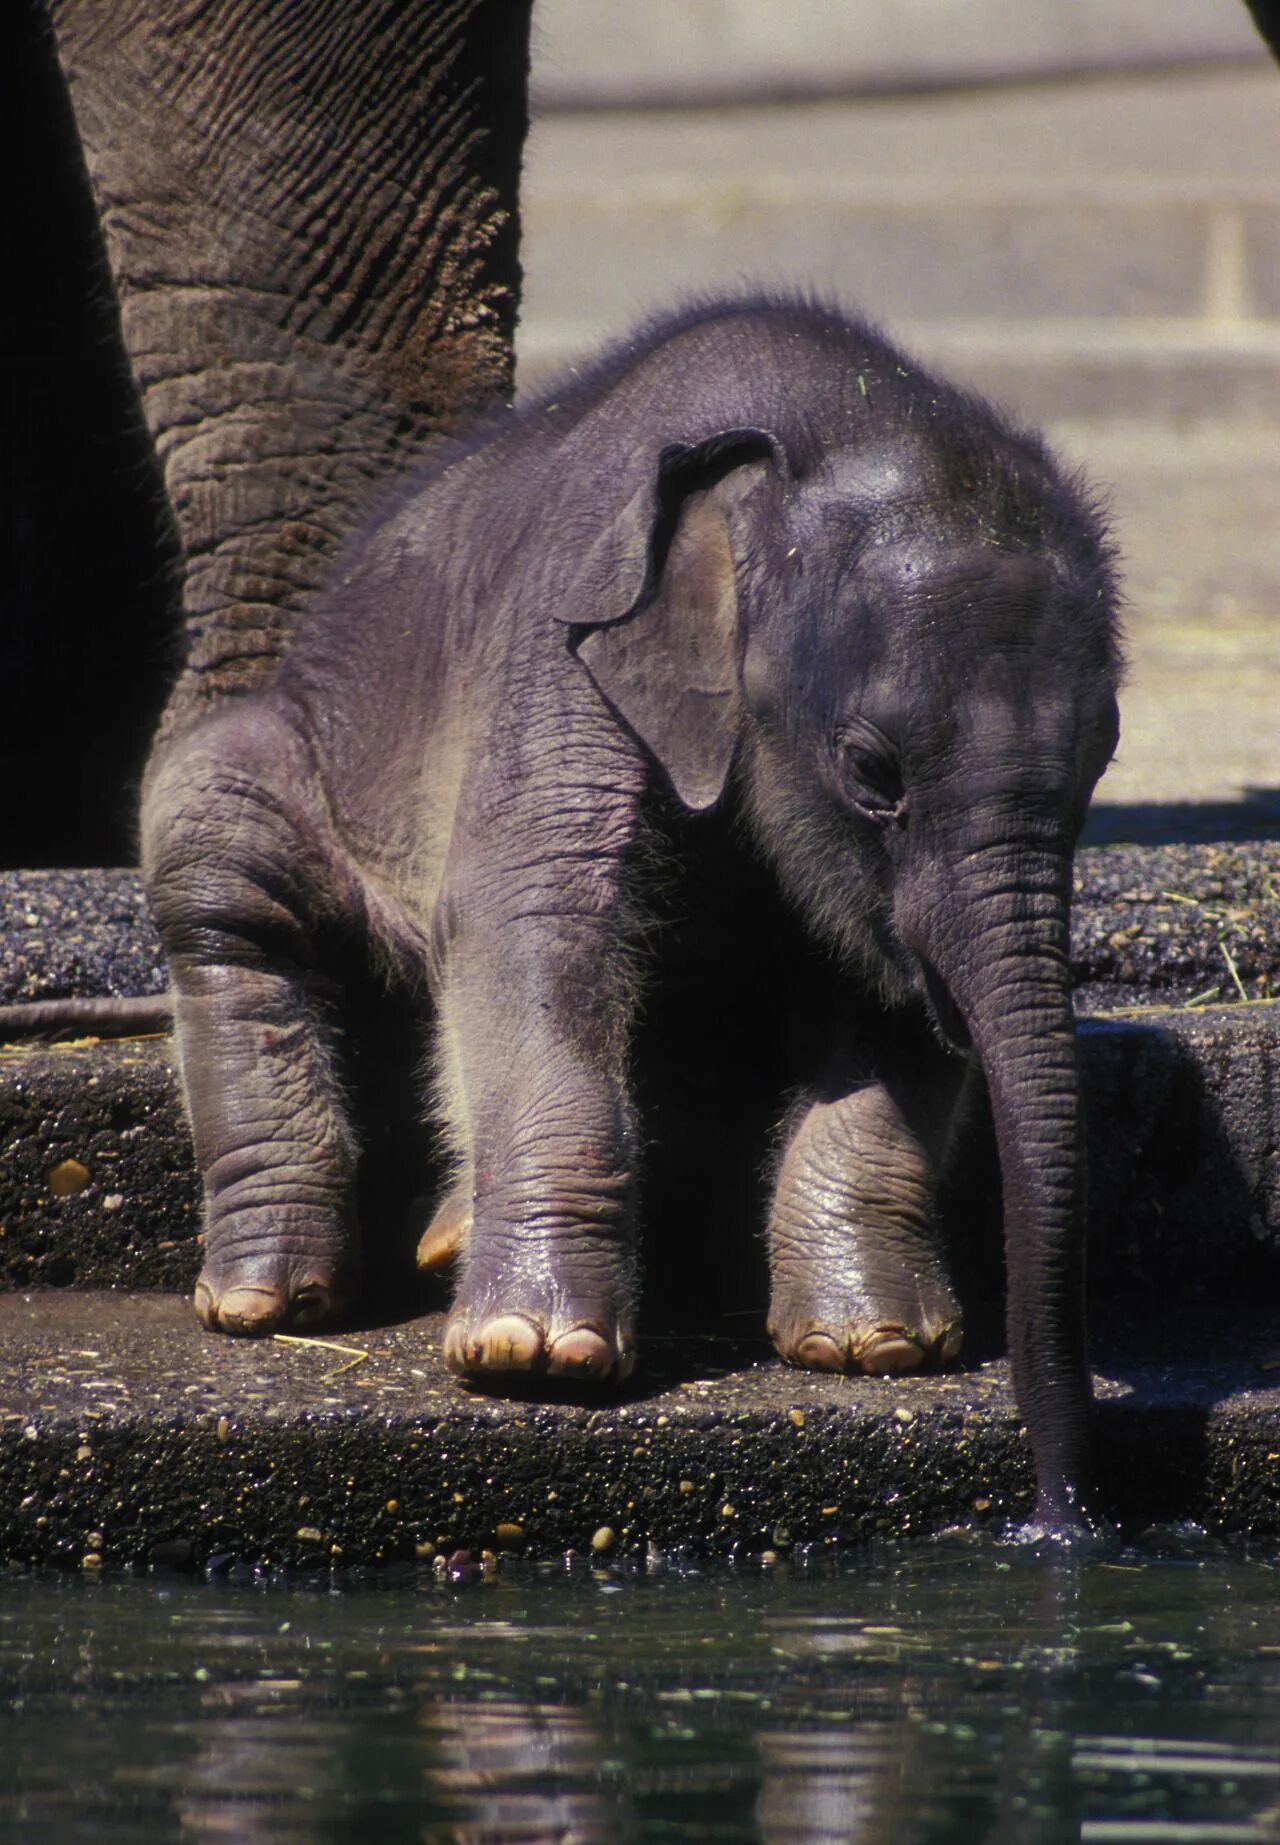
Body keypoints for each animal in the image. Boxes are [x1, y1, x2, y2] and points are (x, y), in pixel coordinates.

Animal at [142, 291, 1121, 1527]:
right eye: (870, 770)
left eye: (1099, 765)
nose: (1061, 1508)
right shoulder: (561, 640)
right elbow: (535, 916)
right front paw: (532, 1358)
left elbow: (876, 982)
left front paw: (877, 1350)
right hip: (294, 745)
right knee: (218, 859)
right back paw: (268, 1301)